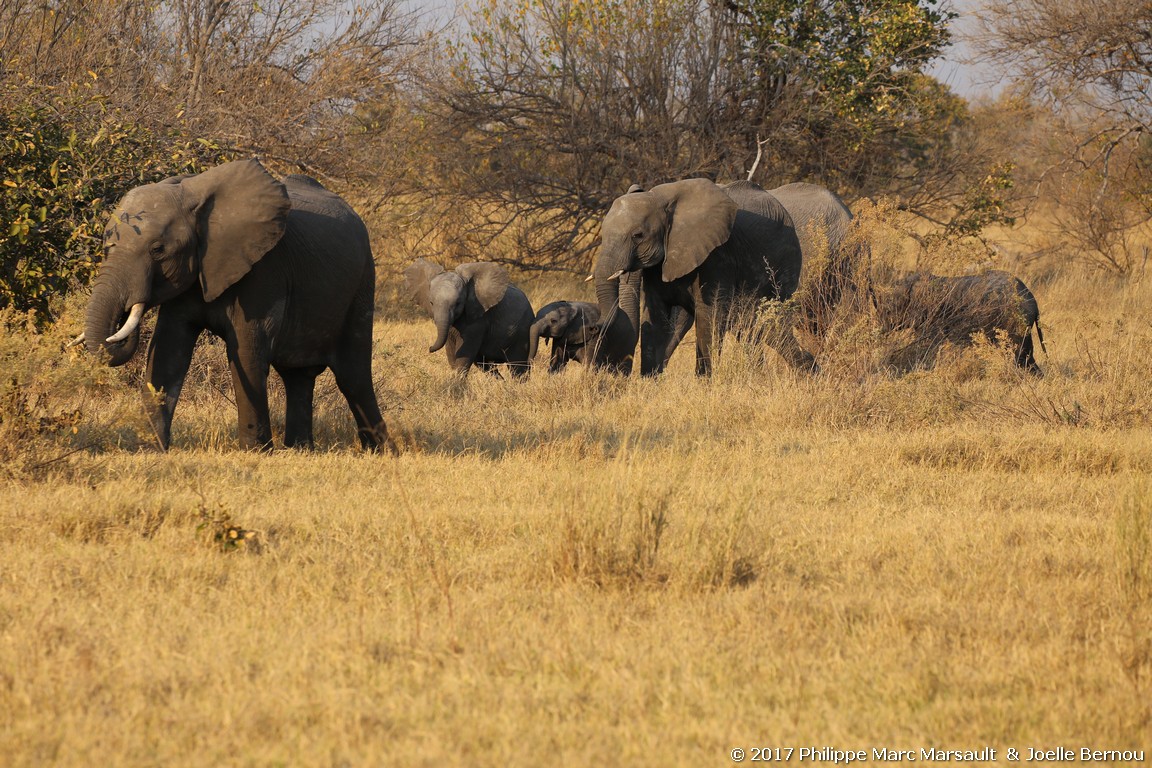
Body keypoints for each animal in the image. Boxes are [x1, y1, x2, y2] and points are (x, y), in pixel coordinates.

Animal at [76, 158, 393, 453]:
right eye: (105, 246)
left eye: (157, 250)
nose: (123, 319)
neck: (192, 195)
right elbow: (168, 351)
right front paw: (151, 449)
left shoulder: (265, 269)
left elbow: (246, 349)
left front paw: (256, 452)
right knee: (297, 377)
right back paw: (300, 449)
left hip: (362, 283)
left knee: (353, 376)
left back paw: (381, 451)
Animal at [403, 257, 532, 377]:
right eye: (431, 303)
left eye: (458, 303)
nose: (429, 348)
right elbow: (451, 354)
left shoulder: (478, 319)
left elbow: (464, 353)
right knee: (486, 366)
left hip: (521, 333)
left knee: (517, 366)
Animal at [589, 177, 852, 375]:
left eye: (638, 235)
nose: (594, 328)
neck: (661, 196)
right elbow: (658, 318)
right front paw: (650, 385)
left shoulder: (717, 256)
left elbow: (709, 316)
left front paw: (705, 385)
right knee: (758, 329)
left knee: (771, 324)